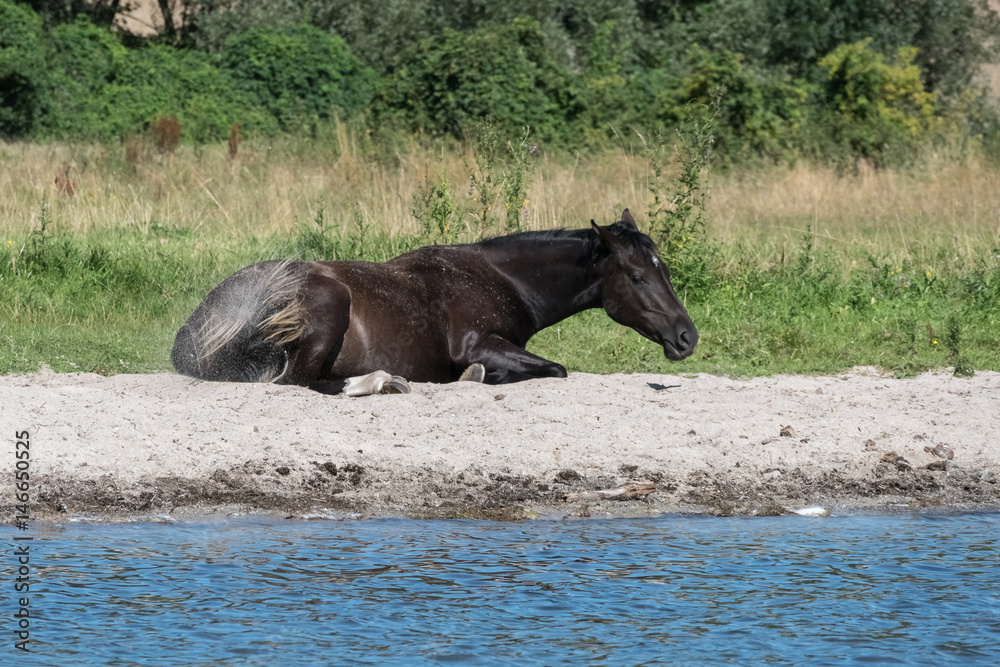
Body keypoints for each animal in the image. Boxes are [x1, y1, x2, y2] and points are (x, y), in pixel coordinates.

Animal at [171, 209, 698, 395]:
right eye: (637, 276)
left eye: (665, 271)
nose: (686, 337)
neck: (501, 278)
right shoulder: (475, 343)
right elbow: (554, 368)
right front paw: (476, 377)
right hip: (328, 309)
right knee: (302, 382)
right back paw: (380, 382)